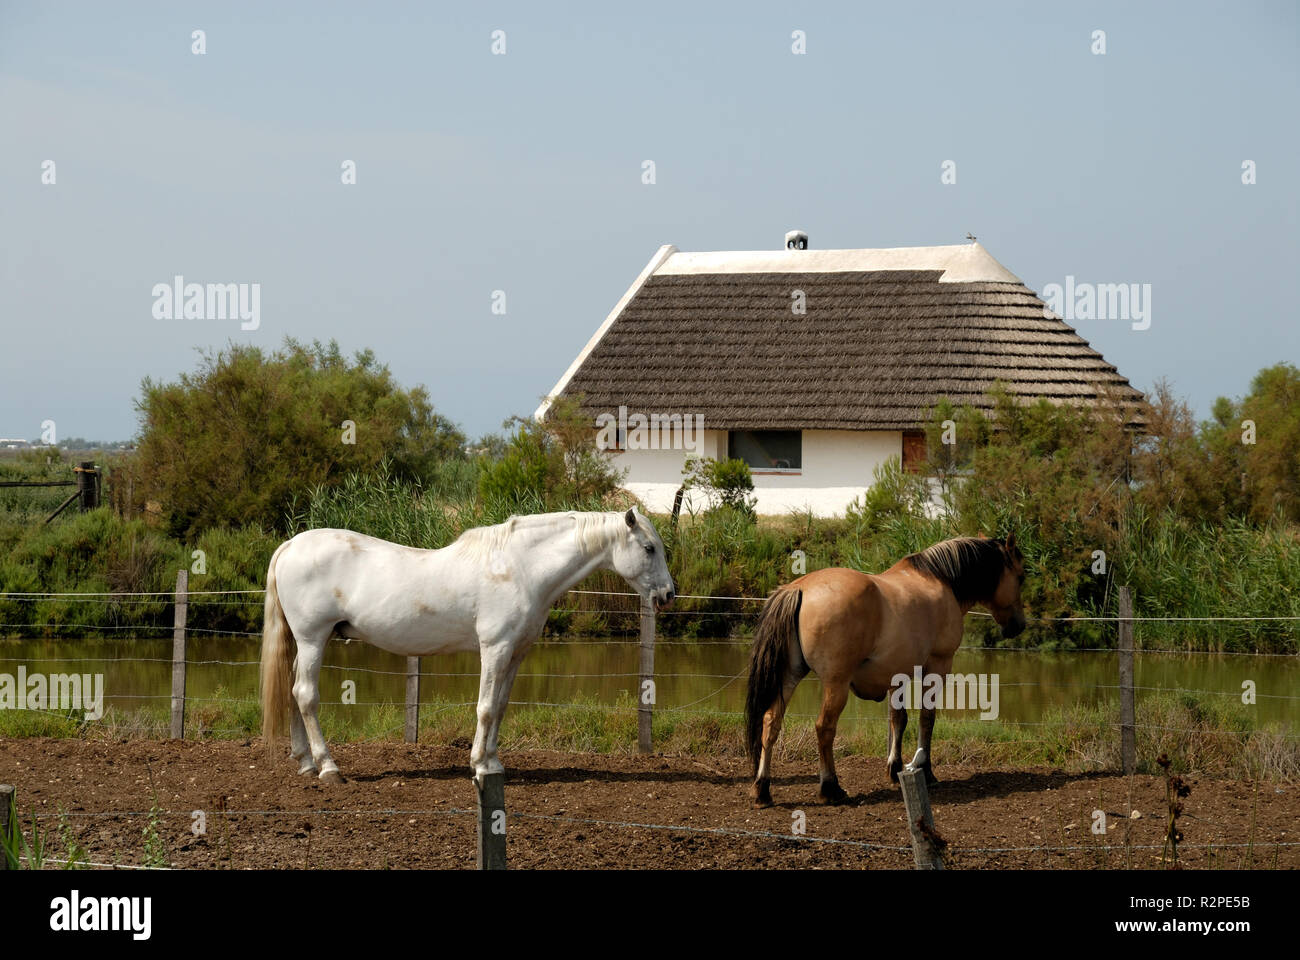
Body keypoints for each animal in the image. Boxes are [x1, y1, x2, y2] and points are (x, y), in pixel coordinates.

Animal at [260, 504, 676, 780]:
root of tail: (291, 545)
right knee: (306, 695)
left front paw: (493, 762)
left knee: (293, 693)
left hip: (307, 642)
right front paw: (478, 766)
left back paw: (305, 762)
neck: (519, 568)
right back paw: (328, 767)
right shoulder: (494, 649)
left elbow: (502, 706)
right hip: (313, 638)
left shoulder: (516, 653)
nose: (668, 595)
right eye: (649, 548)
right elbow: (486, 708)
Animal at [748, 535, 1019, 806]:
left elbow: (898, 719)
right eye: (1021, 576)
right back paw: (830, 788)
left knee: (771, 721)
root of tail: (800, 588)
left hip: (789, 676)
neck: (939, 580)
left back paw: (762, 788)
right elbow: (926, 718)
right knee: (824, 728)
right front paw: (925, 769)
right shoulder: (938, 666)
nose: (1018, 625)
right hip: (836, 684)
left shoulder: (896, 676)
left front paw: (895, 767)